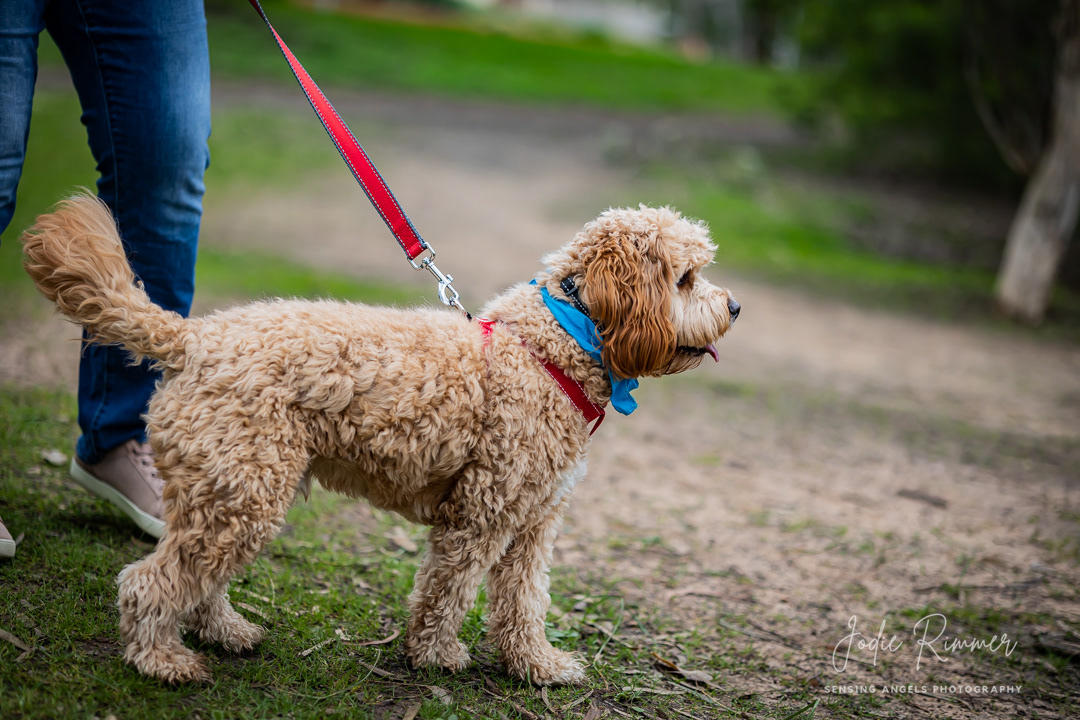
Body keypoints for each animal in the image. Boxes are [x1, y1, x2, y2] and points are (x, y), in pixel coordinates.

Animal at [22, 193, 739, 685]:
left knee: (197, 576)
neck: (558, 342)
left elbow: (524, 602)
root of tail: (193, 339)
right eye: (685, 279)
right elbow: (449, 592)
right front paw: (437, 655)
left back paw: (224, 631)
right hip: (243, 487)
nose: (734, 307)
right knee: (149, 582)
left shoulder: (535, 522)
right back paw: (160, 660)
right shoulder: (482, 513)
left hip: (233, 488)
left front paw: (537, 666)